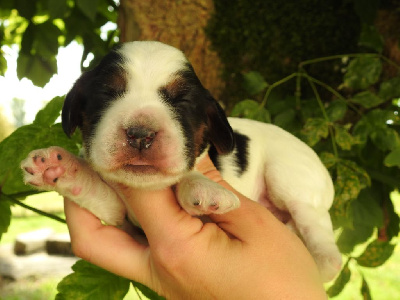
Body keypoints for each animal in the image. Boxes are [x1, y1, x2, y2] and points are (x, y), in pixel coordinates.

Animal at [20, 41, 340, 282]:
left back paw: (321, 259)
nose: (140, 134)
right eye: (107, 93)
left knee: (319, 233)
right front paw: (61, 168)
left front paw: (203, 187)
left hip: (290, 176)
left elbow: (189, 175)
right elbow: (99, 192)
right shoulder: (121, 215)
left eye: (181, 101)